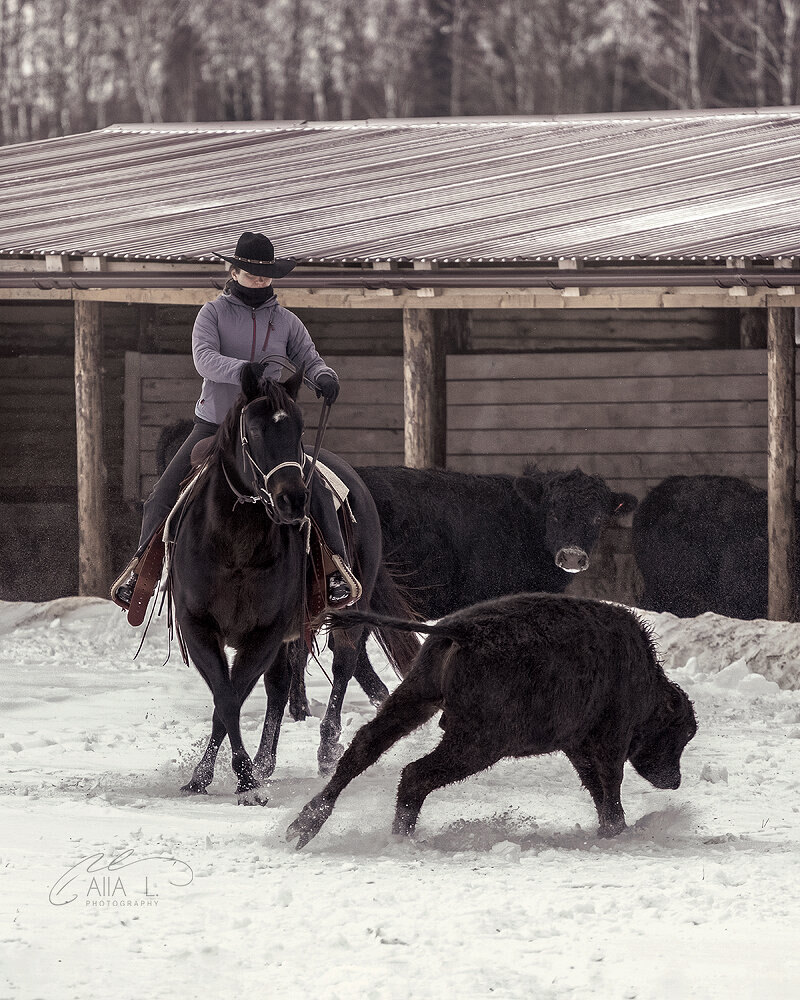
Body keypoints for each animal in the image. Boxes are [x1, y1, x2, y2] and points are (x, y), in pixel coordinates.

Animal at [169, 364, 418, 800]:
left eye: (300, 428)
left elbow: (232, 699)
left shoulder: (265, 631)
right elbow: (226, 697)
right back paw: (267, 761)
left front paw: (244, 779)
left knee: (343, 664)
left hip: (347, 612)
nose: (292, 500)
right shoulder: (200, 627)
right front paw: (212, 776)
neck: (235, 543)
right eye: (253, 430)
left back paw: (327, 747)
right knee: (283, 686)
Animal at [286, 596, 692, 848]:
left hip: (417, 700)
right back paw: (401, 838)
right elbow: (610, 786)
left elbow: (596, 787)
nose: (675, 781)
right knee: (415, 774)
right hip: (478, 745)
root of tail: (463, 630)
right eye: (681, 734)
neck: (645, 678)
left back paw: (304, 826)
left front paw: (612, 828)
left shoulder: (577, 747)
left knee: (364, 748)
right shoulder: (609, 741)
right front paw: (617, 830)